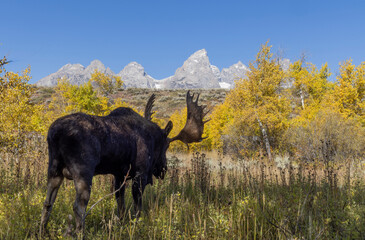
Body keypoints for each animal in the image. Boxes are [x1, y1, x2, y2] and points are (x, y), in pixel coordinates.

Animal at [39, 91, 208, 233]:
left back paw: (42, 231)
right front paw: (136, 225)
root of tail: (55, 133)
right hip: (83, 172)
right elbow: (137, 206)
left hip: (54, 170)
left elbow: (121, 204)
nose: (163, 169)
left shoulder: (119, 175)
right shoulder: (140, 174)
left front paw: (121, 223)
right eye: (166, 146)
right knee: (78, 207)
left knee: (47, 202)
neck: (153, 138)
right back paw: (81, 233)